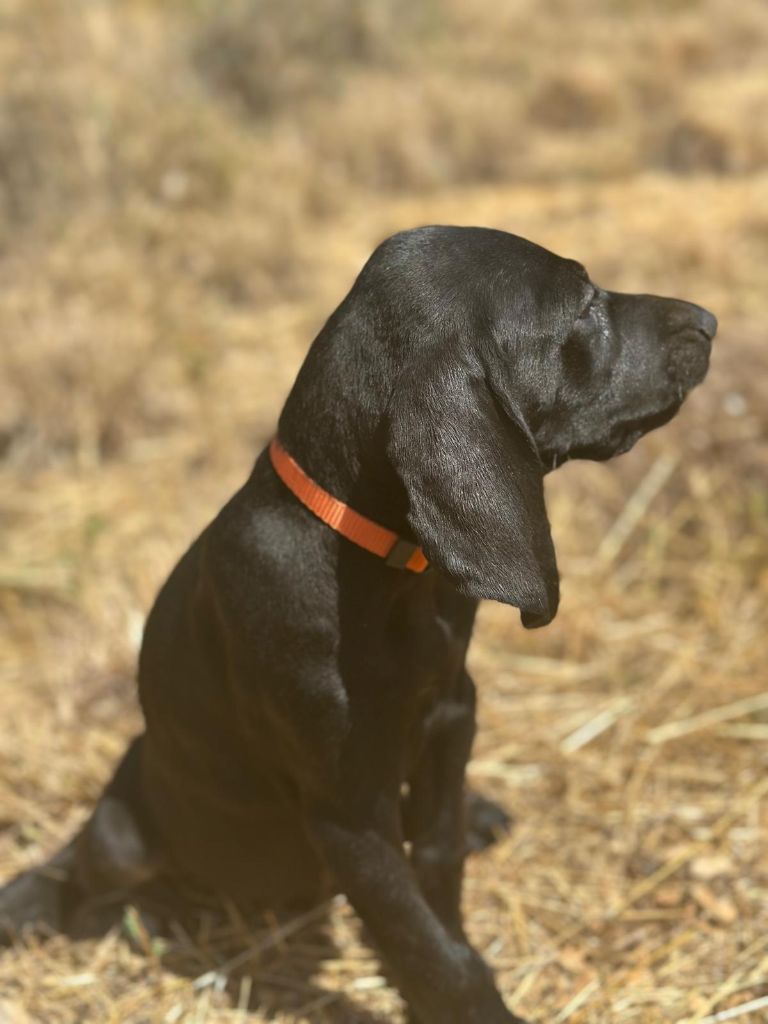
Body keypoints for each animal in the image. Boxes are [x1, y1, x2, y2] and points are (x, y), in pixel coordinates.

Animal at [3, 228, 720, 1024]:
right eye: (584, 305)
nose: (708, 321)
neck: (375, 566)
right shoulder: (347, 816)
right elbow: (429, 947)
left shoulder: (452, 714)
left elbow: (436, 874)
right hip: (125, 830)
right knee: (83, 878)